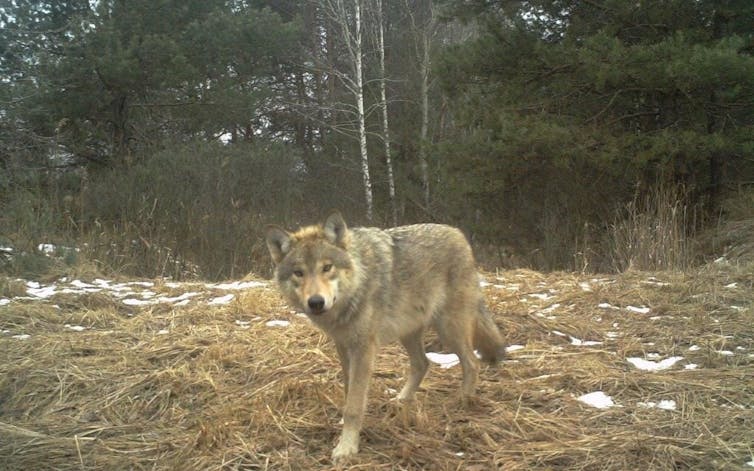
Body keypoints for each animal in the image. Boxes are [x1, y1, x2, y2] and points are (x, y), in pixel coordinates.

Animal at [266, 214, 506, 464]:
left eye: (327, 267)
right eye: (299, 272)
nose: (315, 302)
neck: (355, 288)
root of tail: (458, 234)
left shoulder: (364, 349)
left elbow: (354, 406)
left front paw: (346, 448)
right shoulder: (343, 346)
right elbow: (348, 392)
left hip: (450, 329)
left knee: (472, 363)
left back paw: (463, 402)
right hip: (409, 332)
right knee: (423, 363)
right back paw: (401, 400)